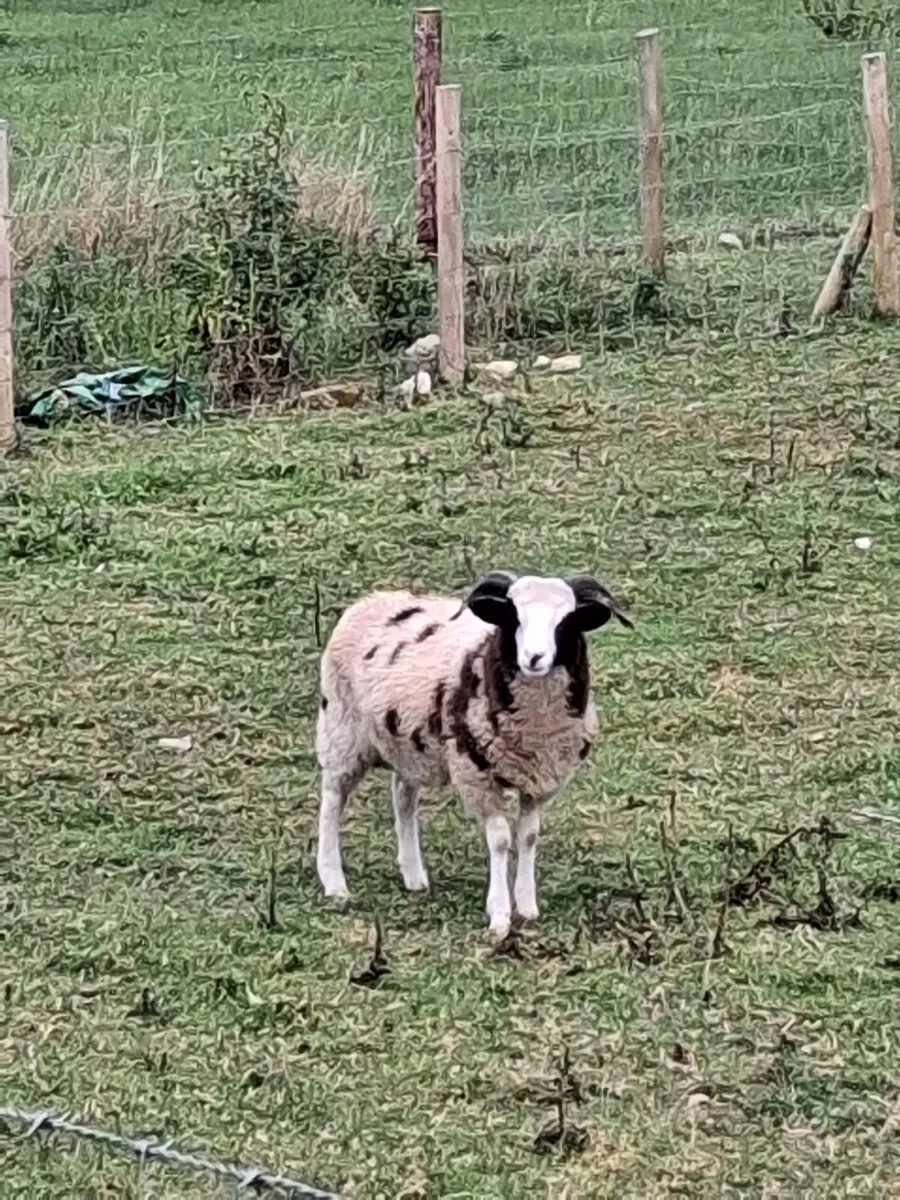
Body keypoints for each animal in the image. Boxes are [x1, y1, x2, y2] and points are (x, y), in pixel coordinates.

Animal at [315, 570, 632, 938]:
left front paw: (527, 905)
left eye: (566, 621)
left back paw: (414, 876)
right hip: (342, 731)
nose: (534, 658)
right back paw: (333, 881)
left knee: (403, 796)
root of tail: (371, 600)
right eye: (513, 616)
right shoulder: (477, 776)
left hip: (408, 744)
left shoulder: (539, 777)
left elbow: (528, 837)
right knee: (333, 799)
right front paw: (500, 915)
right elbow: (500, 840)